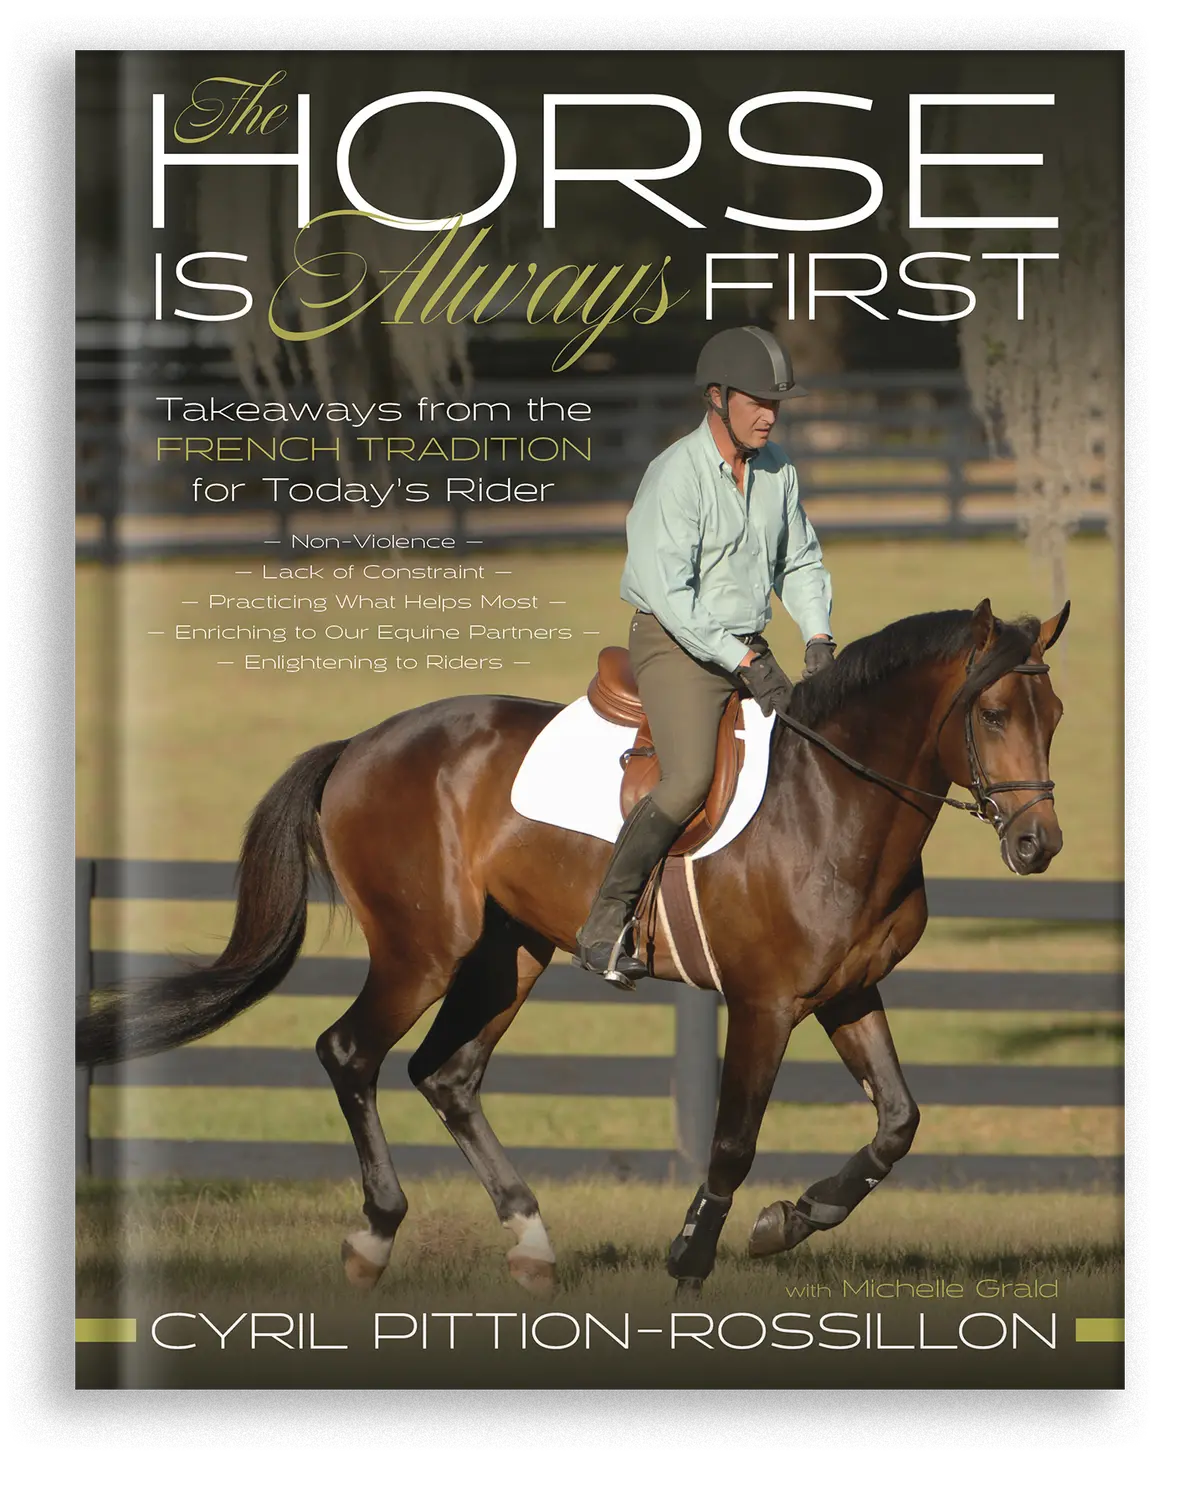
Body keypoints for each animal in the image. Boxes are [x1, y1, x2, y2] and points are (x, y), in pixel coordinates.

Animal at [75, 596, 1068, 1297]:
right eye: (991, 714)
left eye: (1053, 712)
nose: (1038, 845)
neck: (830, 798)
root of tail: (361, 744)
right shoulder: (764, 1004)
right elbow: (732, 1143)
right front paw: (693, 1257)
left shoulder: (846, 993)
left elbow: (898, 1123)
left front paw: (791, 1219)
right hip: (424, 949)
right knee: (350, 1052)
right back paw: (375, 1235)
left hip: (507, 954)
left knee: (446, 1074)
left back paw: (530, 1243)